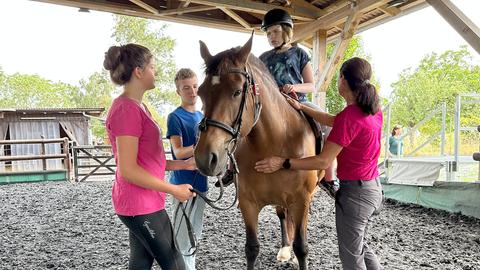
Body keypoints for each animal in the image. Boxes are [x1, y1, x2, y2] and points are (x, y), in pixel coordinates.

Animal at [193, 35, 320, 270]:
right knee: (282, 215)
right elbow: (252, 248)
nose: (205, 158)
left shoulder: (302, 201)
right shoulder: (248, 203)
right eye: (201, 93)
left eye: (236, 91)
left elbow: (302, 248)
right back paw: (284, 248)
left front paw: (295, 251)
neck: (273, 144)